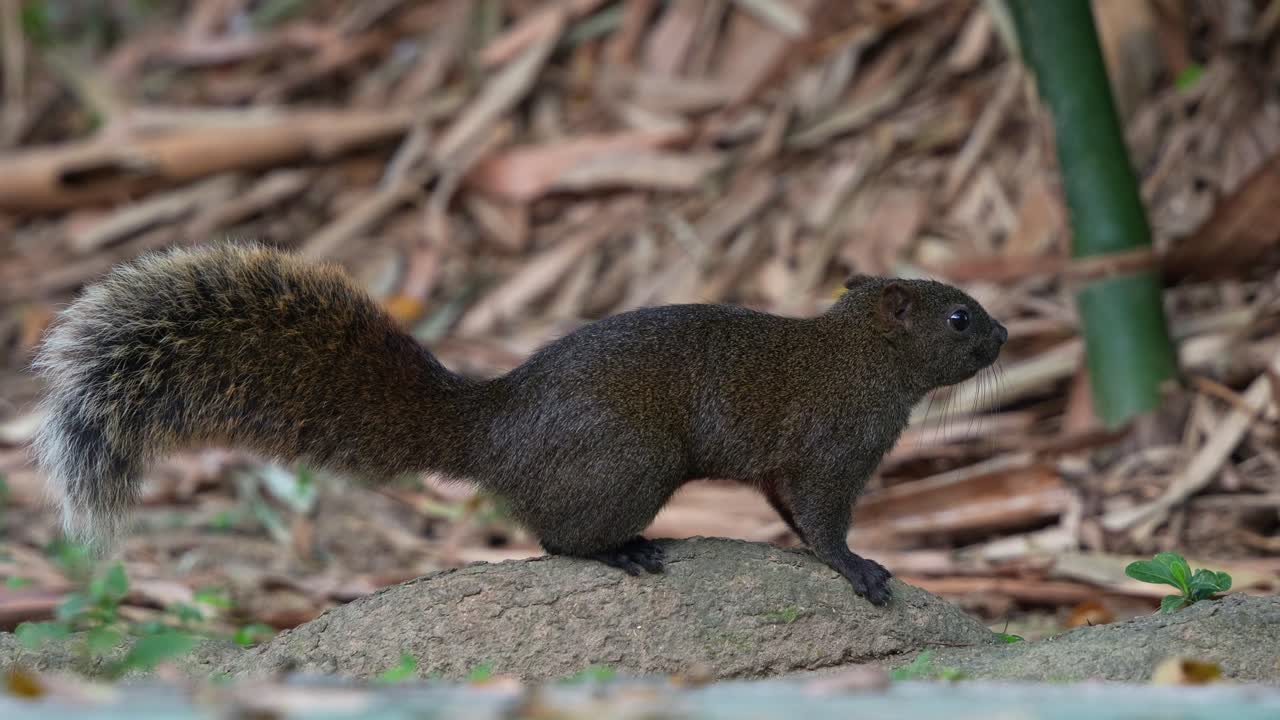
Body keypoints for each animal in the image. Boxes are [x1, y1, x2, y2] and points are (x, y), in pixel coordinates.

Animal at [32, 243, 1006, 606]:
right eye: (959, 318)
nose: (1005, 336)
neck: (862, 358)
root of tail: (489, 427)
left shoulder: (788, 468)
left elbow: (785, 509)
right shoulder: (833, 450)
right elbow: (823, 520)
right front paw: (861, 570)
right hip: (629, 463)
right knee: (557, 540)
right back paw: (625, 552)